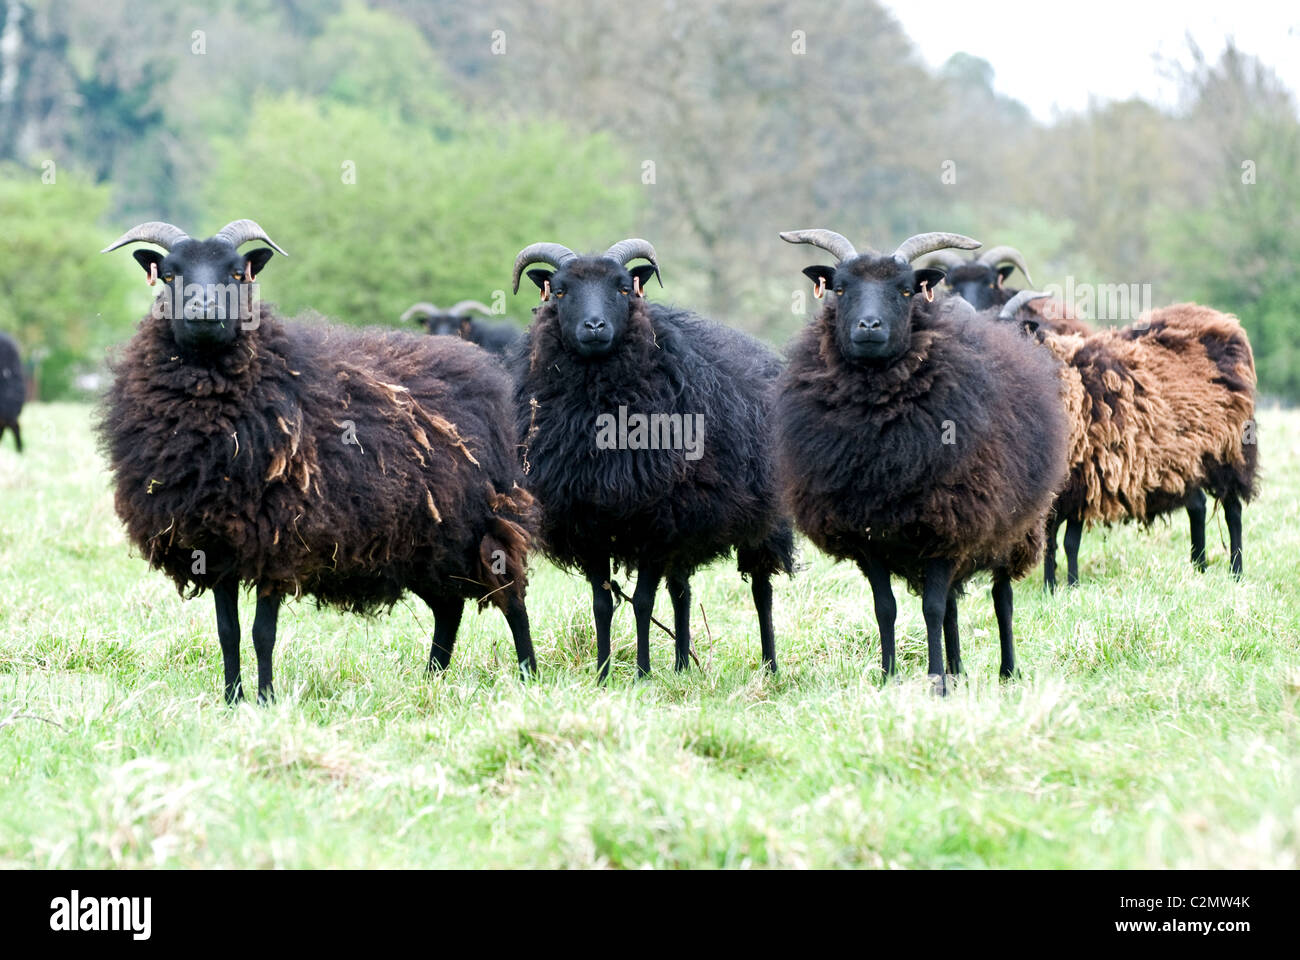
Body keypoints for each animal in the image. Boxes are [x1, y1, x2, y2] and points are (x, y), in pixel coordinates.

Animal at [98, 219, 537, 703]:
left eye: (236, 274)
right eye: (171, 274)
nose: (206, 310)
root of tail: (479, 365)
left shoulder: (276, 538)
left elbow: (262, 633)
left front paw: (265, 699)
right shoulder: (214, 546)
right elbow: (228, 632)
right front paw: (232, 700)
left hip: (485, 520)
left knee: (512, 598)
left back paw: (529, 676)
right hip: (424, 538)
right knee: (448, 605)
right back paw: (433, 676)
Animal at [508, 238, 795, 680]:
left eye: (624, 288)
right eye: (560, 291)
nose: (594, 327)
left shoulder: (655, 521)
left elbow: (643, 603)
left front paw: (641, 673)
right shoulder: (589, 523)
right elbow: (601, 604)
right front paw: (603, 674)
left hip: (762, 519)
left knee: (761, 588)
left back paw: (770, 665)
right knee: (682, 591)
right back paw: (681, 665)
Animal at [775, 229, 1070, 693]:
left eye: (906, 290)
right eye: (840, 289)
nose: (869, 326)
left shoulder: (946, 525)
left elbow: (931, 609)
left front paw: (935, 682)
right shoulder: (868, 536)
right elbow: (887, 608)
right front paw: (890, 677)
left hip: (1012, 528)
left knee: (1001, 598)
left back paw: (1006, 671)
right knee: (951, 603)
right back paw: (958, 669)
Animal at [992, 292, 1258, 588]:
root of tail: (1223, 321)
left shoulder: (1086, 480)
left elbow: (1070, 542)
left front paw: (1072, 585)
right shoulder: (1056, 494)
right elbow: (1050, 542)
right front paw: (1050, 587)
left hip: (1230, 452)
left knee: (1233, 510)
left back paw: (1236, 572)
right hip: (1184, 460)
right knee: (1197, 506)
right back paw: (1198, 567)